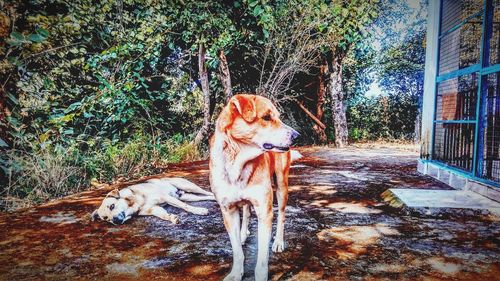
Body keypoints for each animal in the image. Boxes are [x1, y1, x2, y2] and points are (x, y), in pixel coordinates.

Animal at [209, 94, 298, 280]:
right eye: (266, 117)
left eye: (279, 117)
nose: (297, 136)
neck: (238, 161)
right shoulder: (228, 211)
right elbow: (237, 251)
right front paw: (236, 273)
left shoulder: (265, 212)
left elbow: (262, 258)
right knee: (246, 211)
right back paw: (243, 233)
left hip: (281, 185)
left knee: (282, 215)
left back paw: (278, 241)